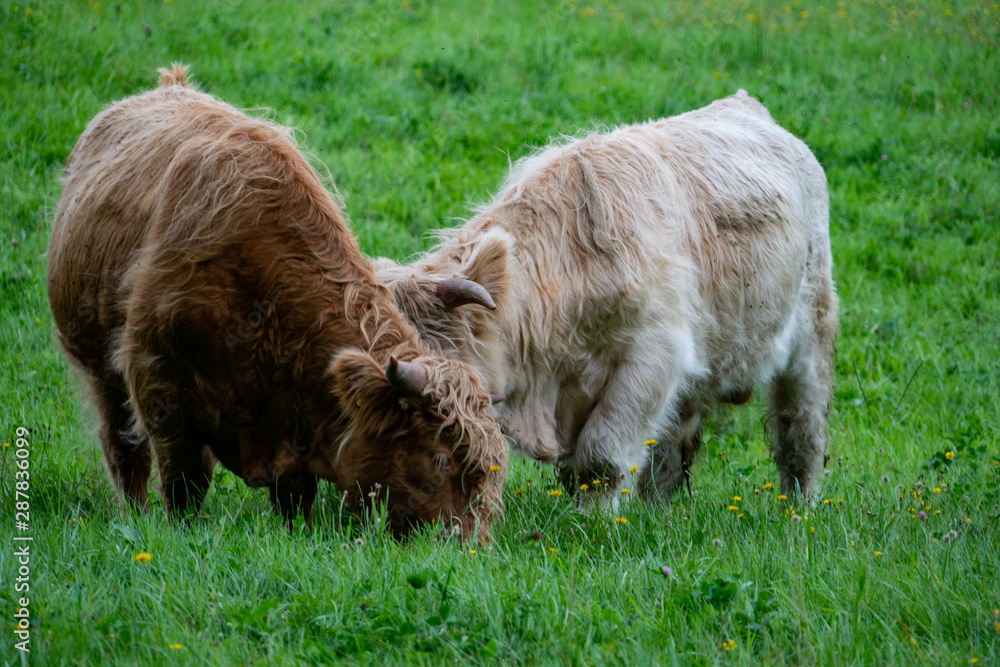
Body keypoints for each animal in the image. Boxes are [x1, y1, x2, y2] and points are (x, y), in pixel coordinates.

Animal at [47, 65, 506, 540]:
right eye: (440, 457)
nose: (469, 543)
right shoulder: (157, 380)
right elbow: (185, 479)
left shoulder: (296, 420)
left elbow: (294, 496)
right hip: (99, 367)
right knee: (123, 446)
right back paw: (134, 513)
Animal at [373, 91, 838, 508]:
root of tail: (744, 104)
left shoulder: (651, 359)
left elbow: (602, 456)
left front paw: (594, 520)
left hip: (812, 332)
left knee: (801, 428)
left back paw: (799, 507)